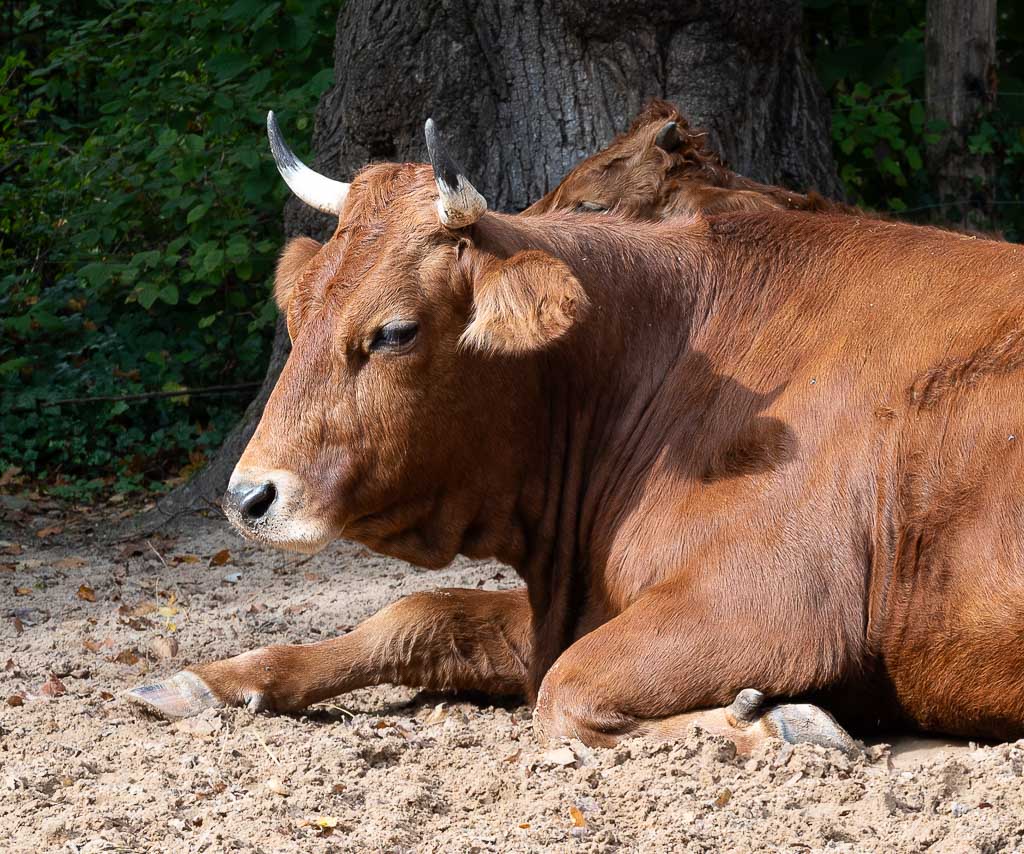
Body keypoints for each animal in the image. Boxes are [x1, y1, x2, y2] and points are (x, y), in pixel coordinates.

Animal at [129, 114, 1024, 756]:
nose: (249, 496)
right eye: (298, 310)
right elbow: (420, 615)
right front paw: (211, 679)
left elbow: (564, 691)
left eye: (394, 332)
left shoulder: (773, 600)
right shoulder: (579, 597)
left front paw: (775, 724)